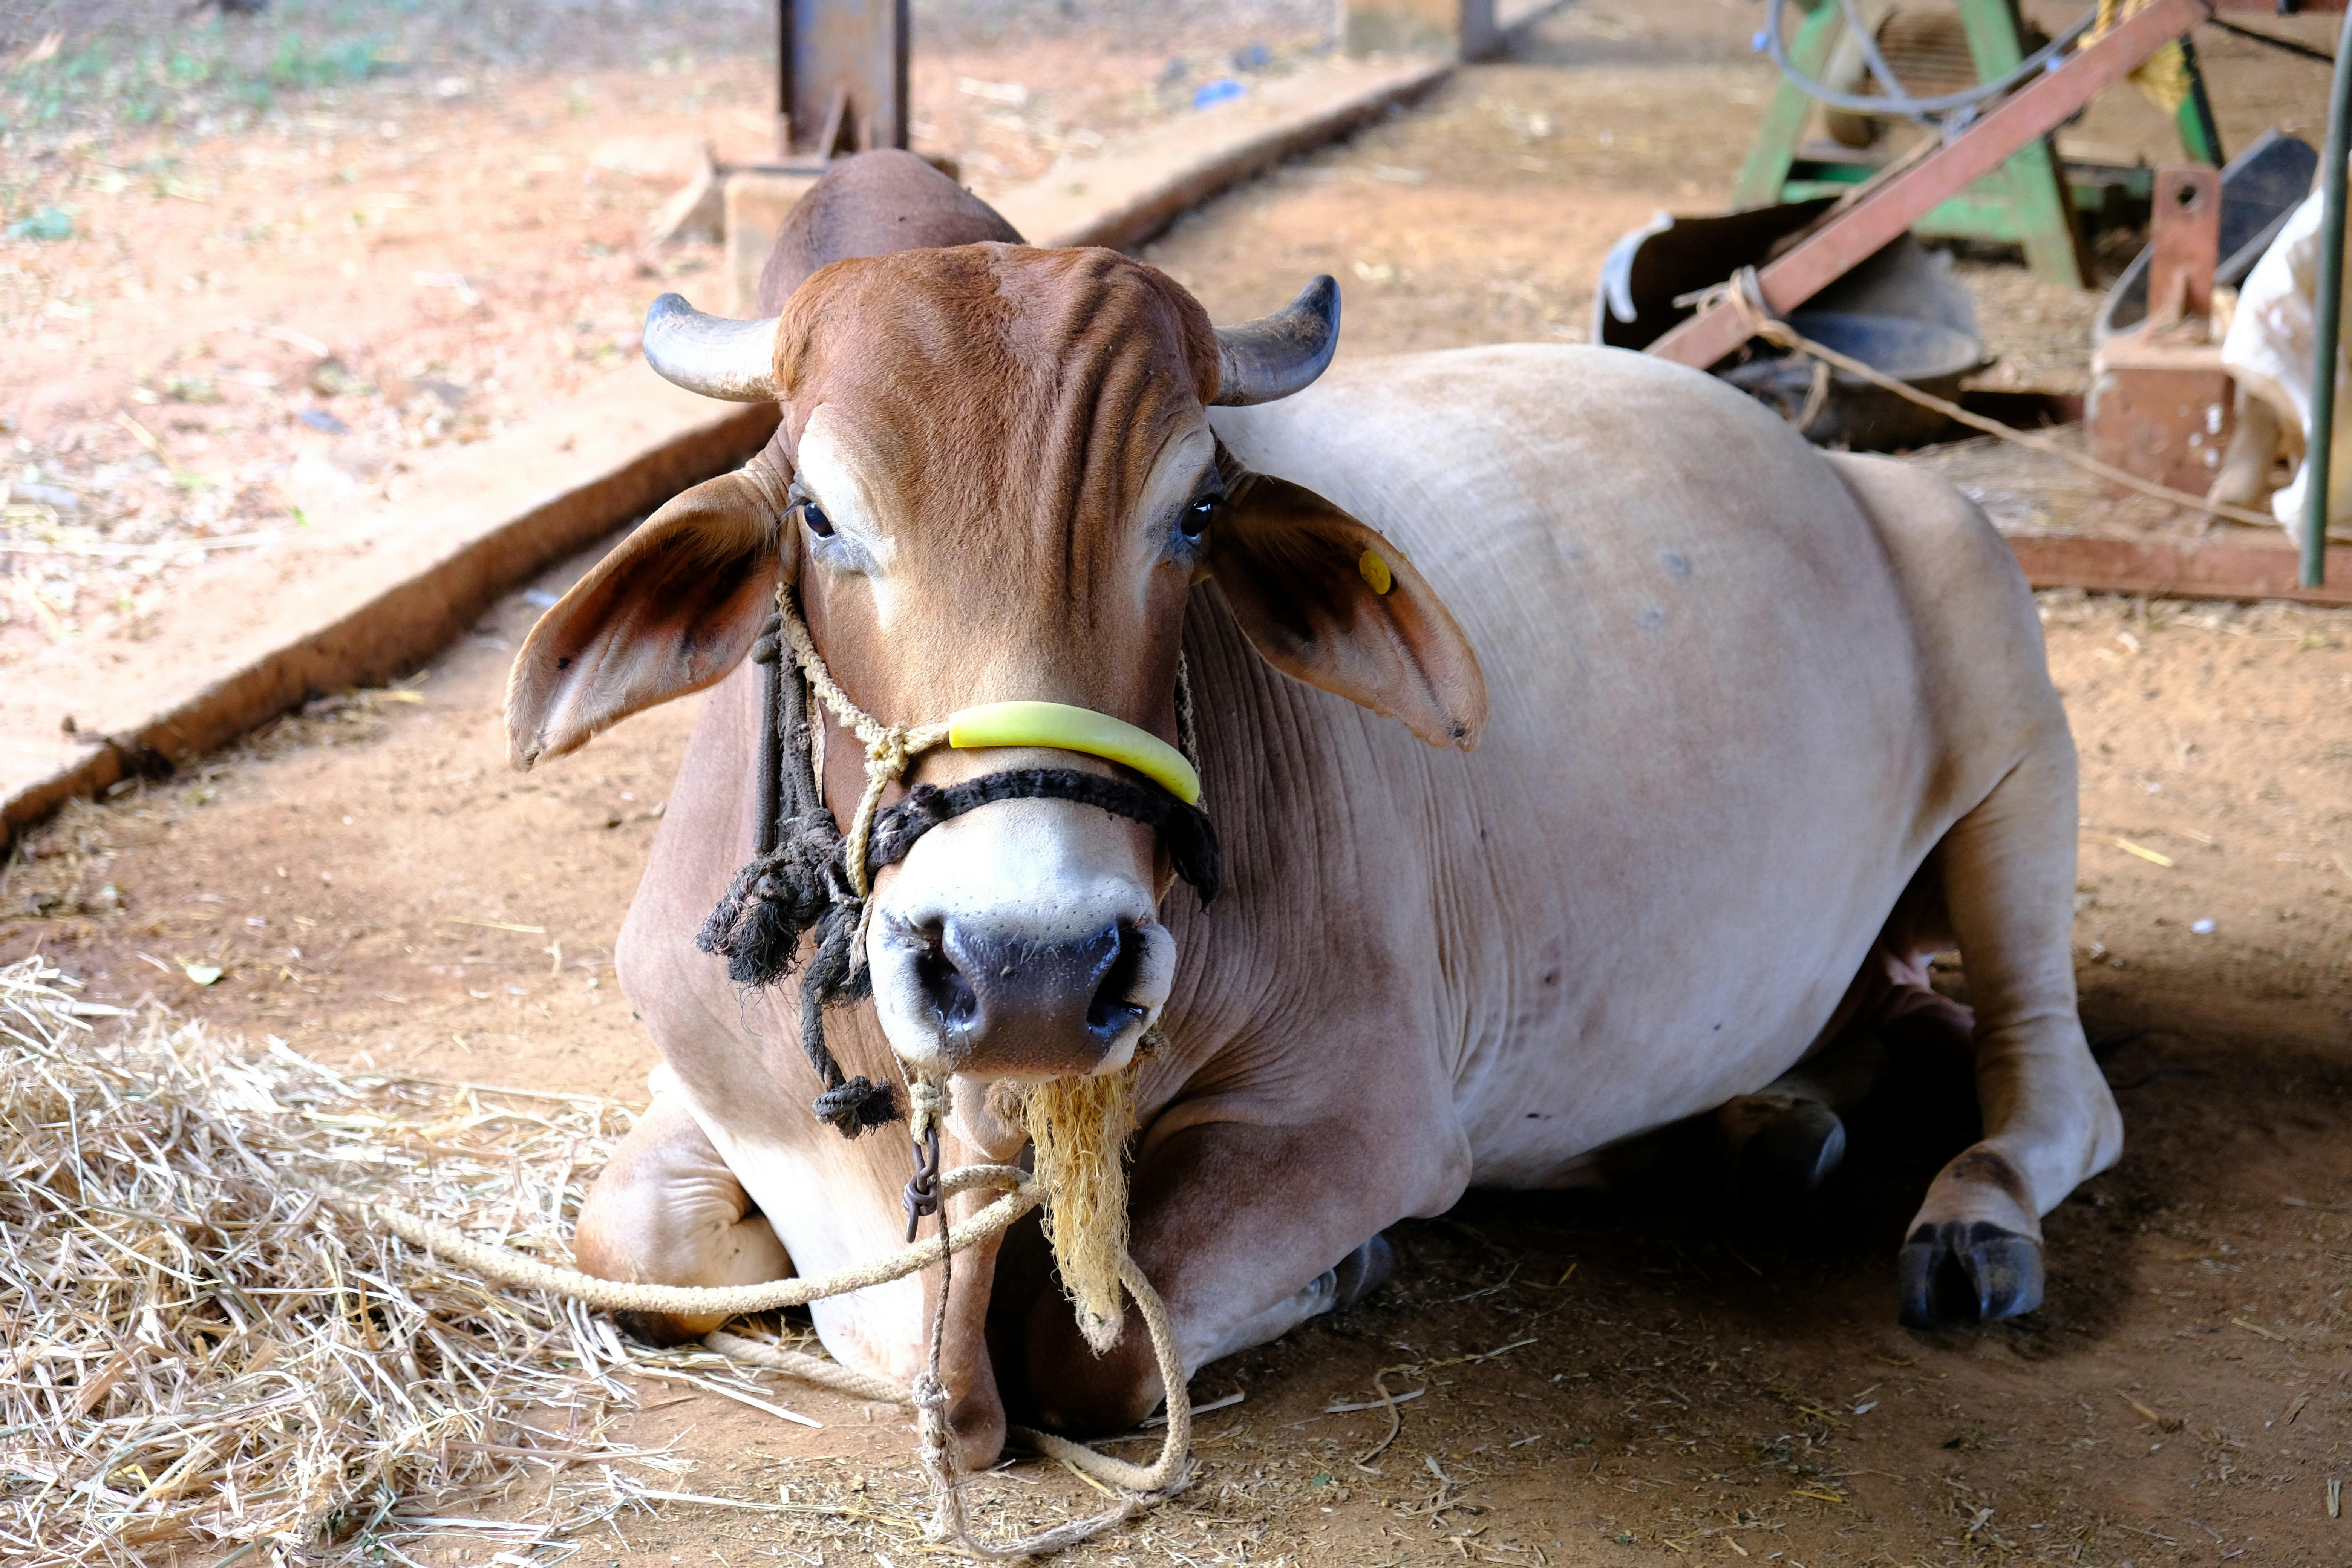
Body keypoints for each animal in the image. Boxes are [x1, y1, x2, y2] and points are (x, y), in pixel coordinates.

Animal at [504, 150, 2122, 1467]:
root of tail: (1842, 464)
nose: (1031, 963)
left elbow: (1092, 1355)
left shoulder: (1369, 1114)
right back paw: (1770, 1126)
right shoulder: (713, 1090)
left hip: (2015, 726)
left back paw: (1968, 1218)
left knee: (2054, 1081)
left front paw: (1343, 1270)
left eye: (1195, 514)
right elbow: (630, 1241)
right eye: (819, 515)